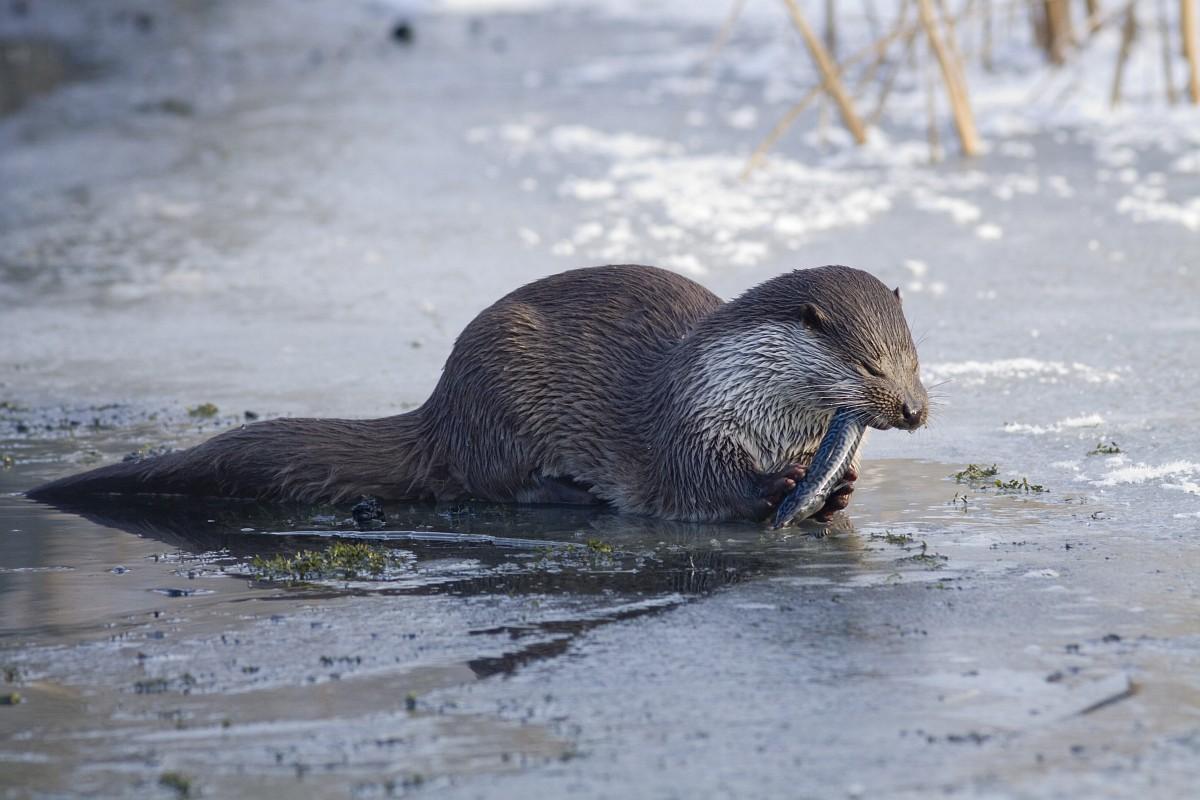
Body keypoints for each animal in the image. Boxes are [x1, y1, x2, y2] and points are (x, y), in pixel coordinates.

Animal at [25, 266, 926, 522]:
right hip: (502, 390)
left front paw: (840, 484)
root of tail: (440, 406)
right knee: (489, 481)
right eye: (872, 367)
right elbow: (697, 484)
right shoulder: (685, 427)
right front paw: (783, 490)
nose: (915, 410)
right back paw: (564, 494)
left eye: (916, 359)